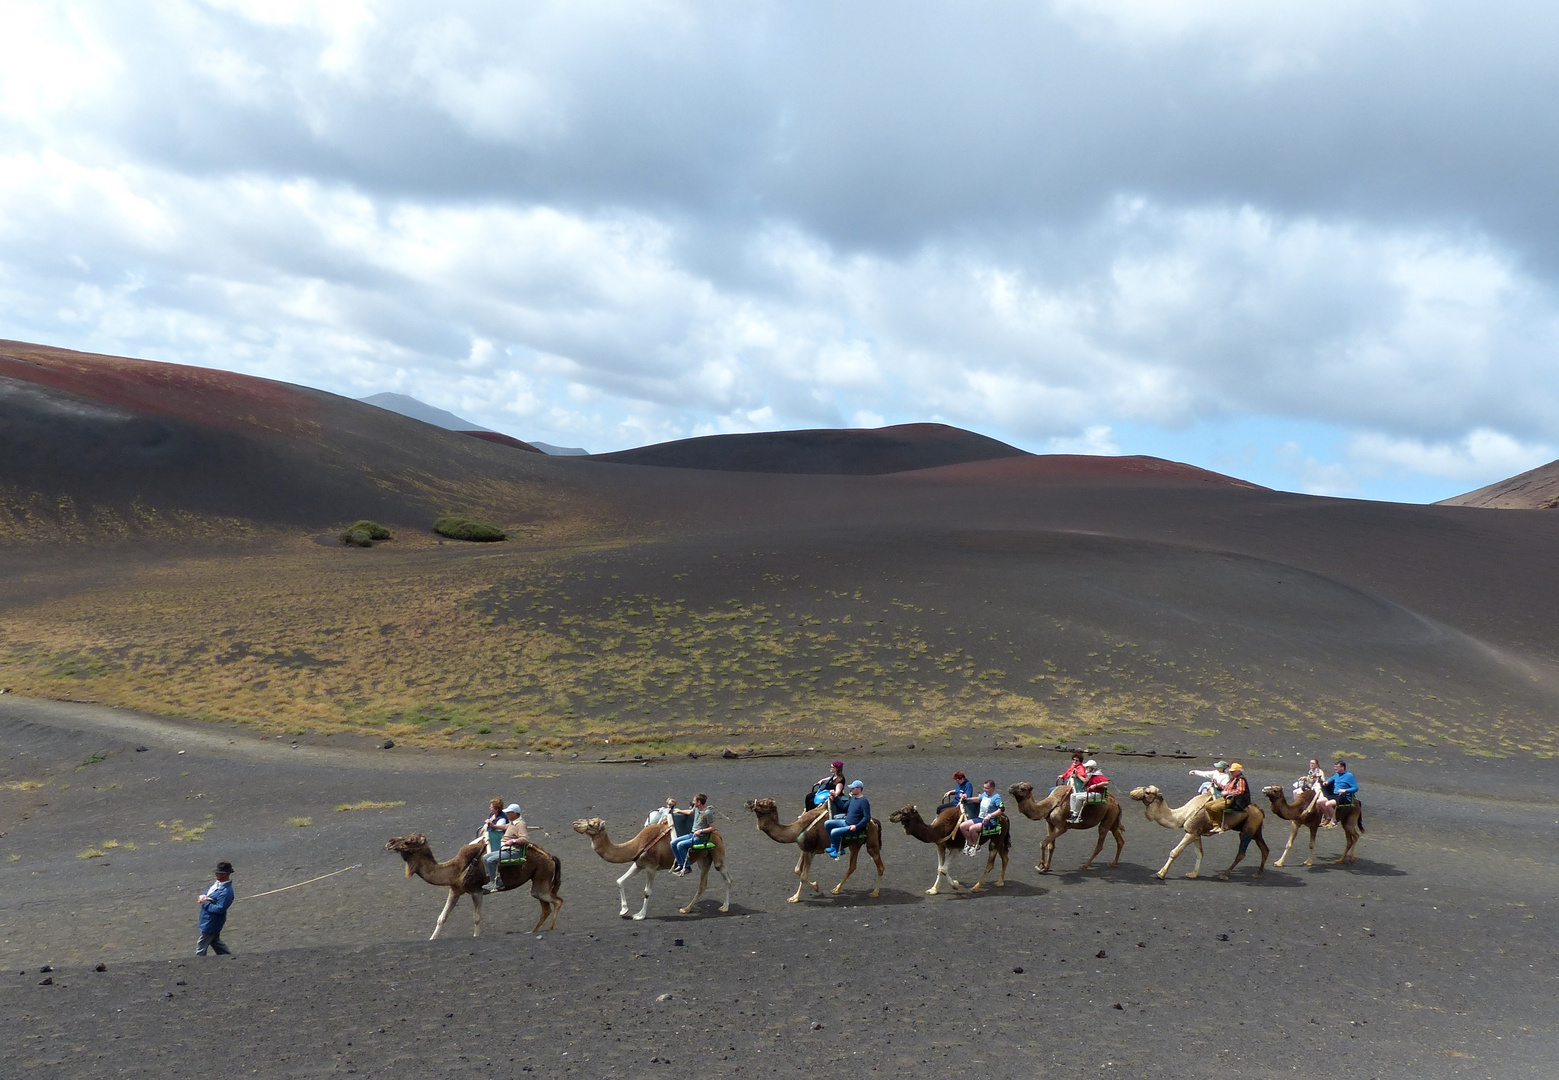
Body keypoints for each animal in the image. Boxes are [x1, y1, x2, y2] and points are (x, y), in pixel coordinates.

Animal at [386, 835, 564, 935]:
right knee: (546, 907)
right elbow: (441, 918)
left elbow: (477, 919)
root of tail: (551, 856)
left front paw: (476, 936)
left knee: (557, 901)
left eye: (409, 841)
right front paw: (432, 939)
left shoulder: (476, 891)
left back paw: (551, 929)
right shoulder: (455, 890)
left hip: (542, 878)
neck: (456, 869)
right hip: (538, 882)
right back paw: (532, 931)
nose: (390, 842)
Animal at [570, 816, 732, 916]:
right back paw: (686, 909)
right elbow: (620, 881)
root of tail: (717, 833)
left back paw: (724, 907)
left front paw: (640, 915)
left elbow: (647, 891)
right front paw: (624, 911)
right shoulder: (639, 863)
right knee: (703, 885)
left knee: (726, 877)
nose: (575, 823)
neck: (636, 845)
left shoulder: (651, 867)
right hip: (703, 859)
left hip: (717, 854)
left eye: (592, 824)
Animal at [745, 791, 885, 903]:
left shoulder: (810, 850)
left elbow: (803, 876)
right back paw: (836, 889)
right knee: (852, 866)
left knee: (880, 866)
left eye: (763, 803)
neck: (796, 829)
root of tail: (874, 821)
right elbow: (797, 870)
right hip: (855, 844)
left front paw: (795, 897)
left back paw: (875, 892)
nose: (748, 802)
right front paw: (816, 886)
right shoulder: (805, 848)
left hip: (871, 843)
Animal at [1134, 788, 1265, 878]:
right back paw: (1258, 874)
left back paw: (1224, 875)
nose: (1134, 792)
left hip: (1248, 829)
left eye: (1148, 792)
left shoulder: (1191, 832)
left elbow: (1175, 852)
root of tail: (1260, 810)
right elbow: (1200, 853)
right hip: (1256, 830)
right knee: (1265, 849)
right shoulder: (1196, 833)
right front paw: (1193, 874)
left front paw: (1161, 874)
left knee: (1242, 853)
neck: (1182, 815)